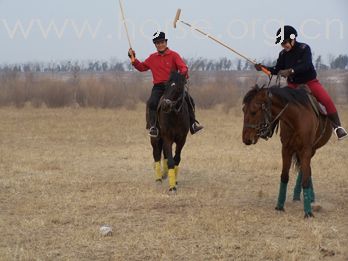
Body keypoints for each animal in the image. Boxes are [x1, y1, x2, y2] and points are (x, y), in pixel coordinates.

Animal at [242, 84, 332, 216]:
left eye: (254, 111)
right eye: (243, 110)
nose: (246, 138)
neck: (296, 118)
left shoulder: (306, 149)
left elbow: (305, 178)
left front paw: (308, 213)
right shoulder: (286, 149)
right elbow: (284, 176)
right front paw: (280, 206)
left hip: (311, 150)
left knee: (306, 171)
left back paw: (310, 198)